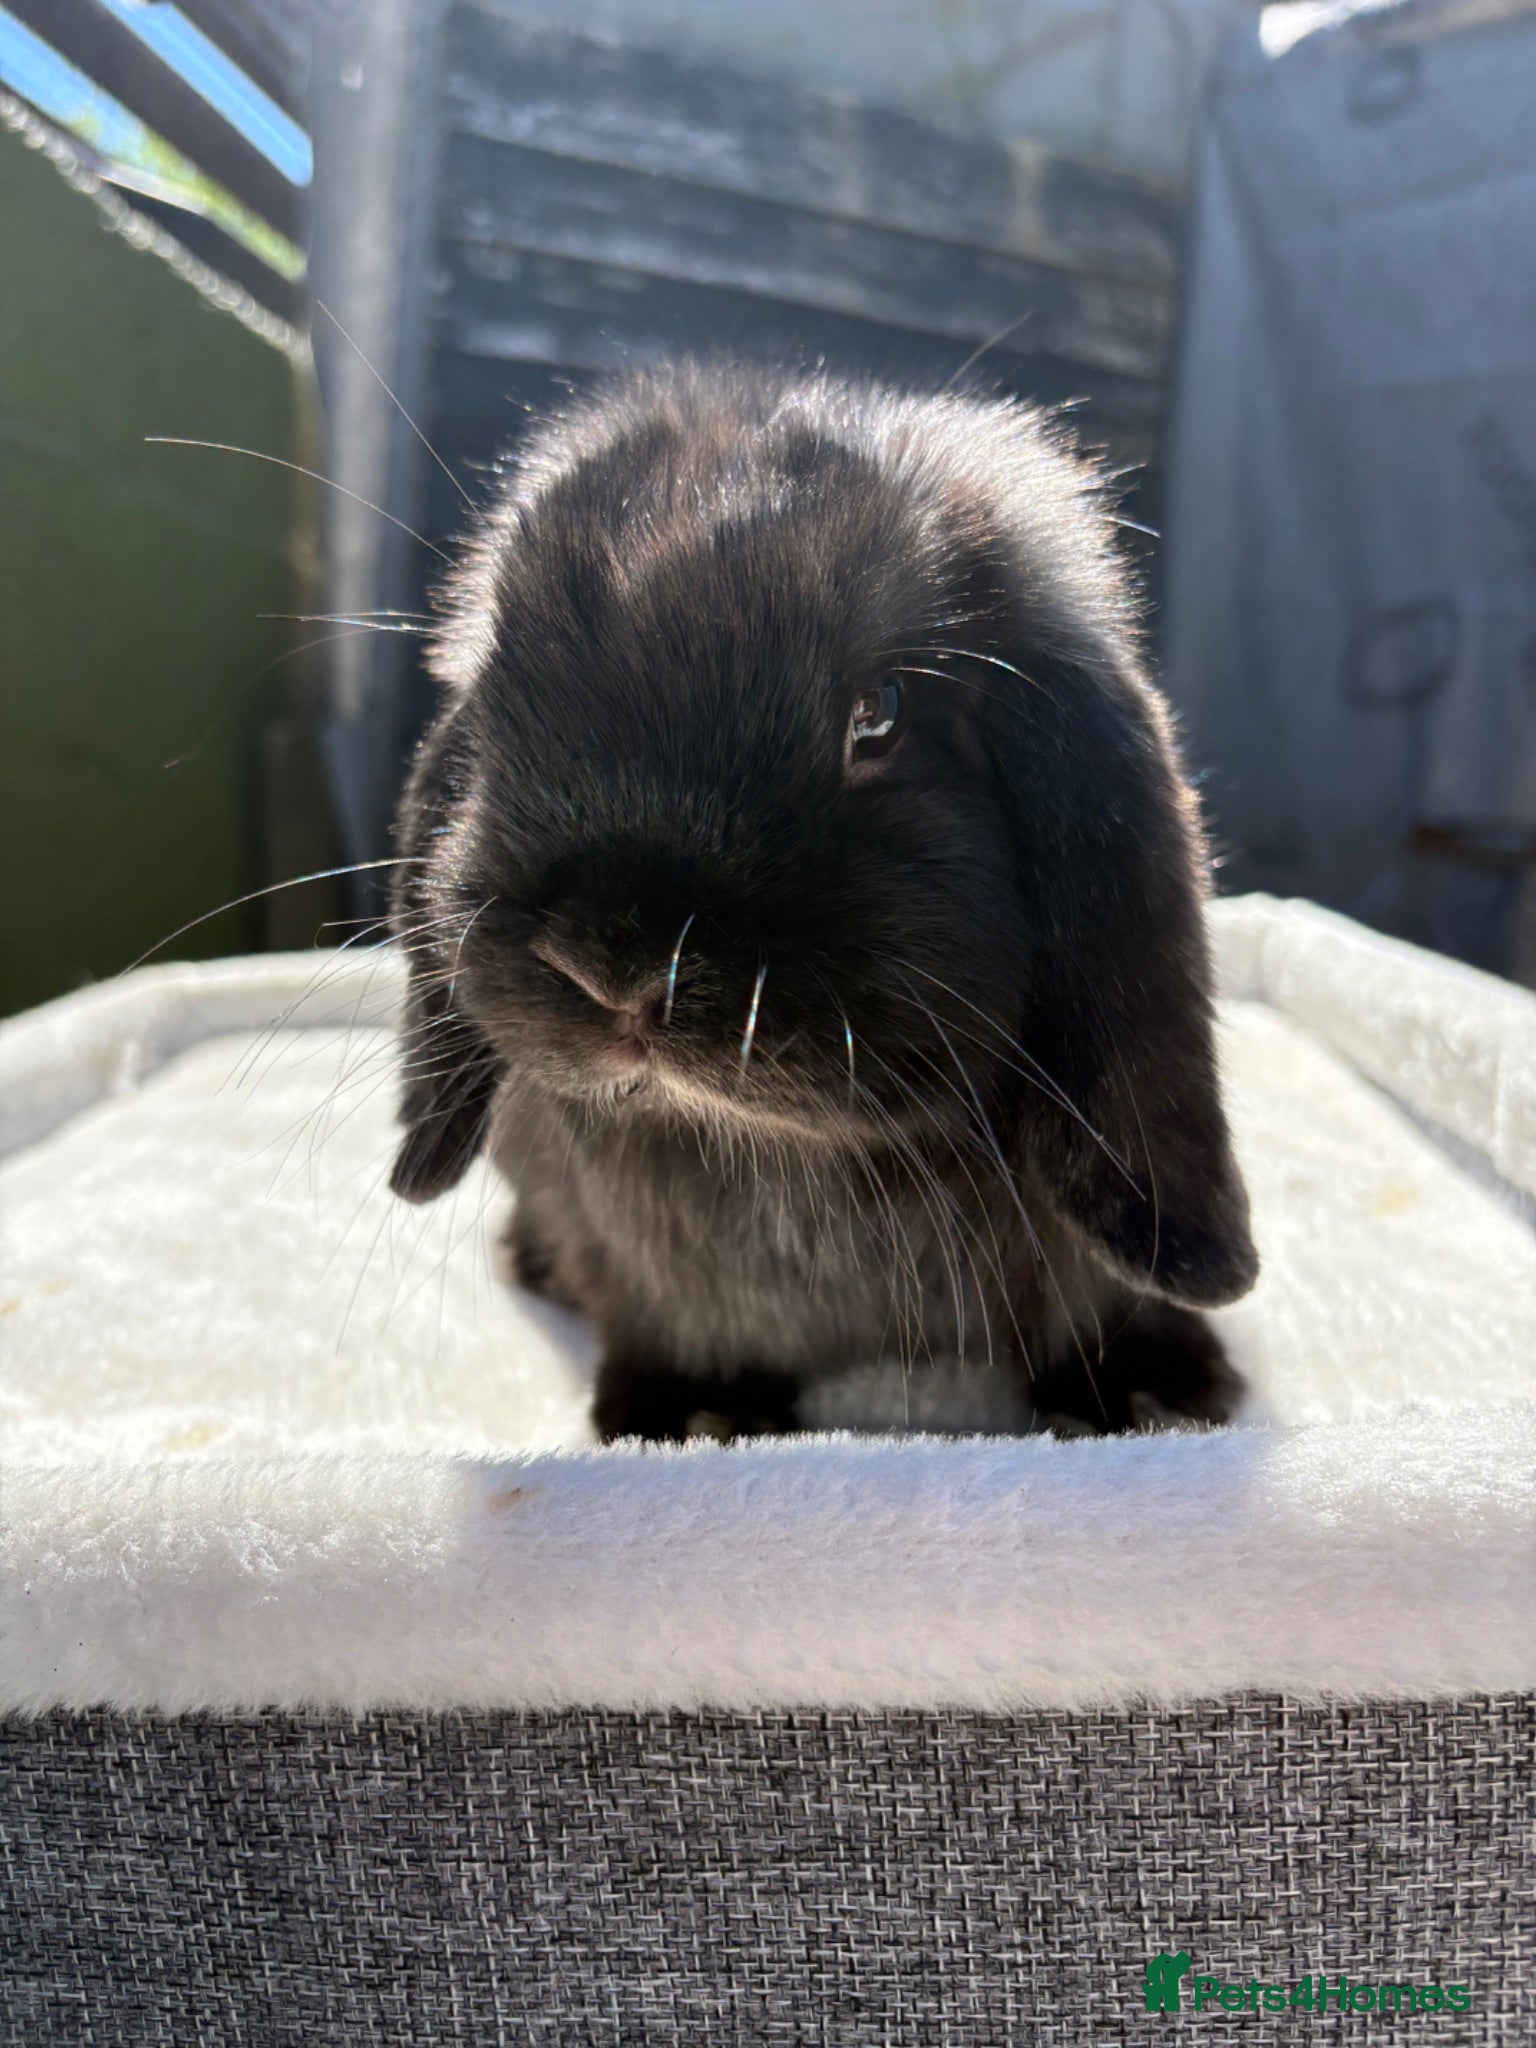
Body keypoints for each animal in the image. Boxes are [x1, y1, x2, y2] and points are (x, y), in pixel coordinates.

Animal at [387, 363, 1258, 1443]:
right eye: (503, 705)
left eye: (879, 714)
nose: (612, 964)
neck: (792, 1157)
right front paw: (694, 1417)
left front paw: (1152, 1394)